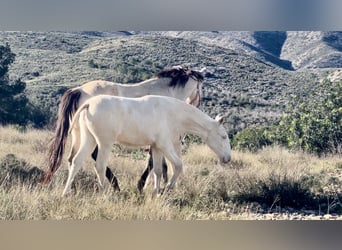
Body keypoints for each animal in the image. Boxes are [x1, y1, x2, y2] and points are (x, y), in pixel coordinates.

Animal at [44, 66, 204, 189]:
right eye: (199, 87)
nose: (196, 105)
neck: (166, 93)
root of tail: (78, 90)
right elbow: (152, 163)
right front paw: (143, 185)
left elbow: (159, 163)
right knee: (94, 157)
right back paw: (115, 185)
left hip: (78, 134)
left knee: (73, 158)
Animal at [62, 94, 231, 195]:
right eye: (223, 137)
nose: (228, 158)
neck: (172, 113)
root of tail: (88, 104)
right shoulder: (164, 145)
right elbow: (178, 165)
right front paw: (168, 188)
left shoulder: (156, 147)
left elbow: (157, 170)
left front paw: (156, 192)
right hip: (104, 143)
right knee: (100, 166)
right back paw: (106, 193)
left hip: (89, 139)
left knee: (76, 161)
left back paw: (66, 192)